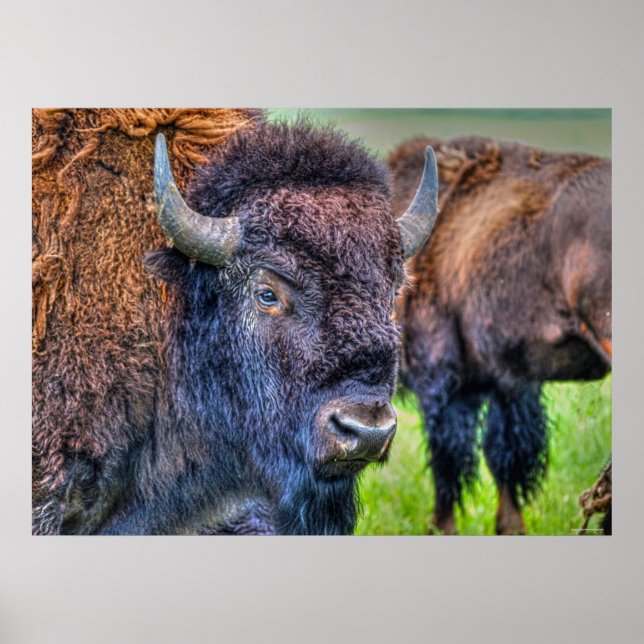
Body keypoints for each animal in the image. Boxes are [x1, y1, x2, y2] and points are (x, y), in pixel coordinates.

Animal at [389, 136, 611, 534]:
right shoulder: (507, 382)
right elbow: (505, 458)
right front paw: (510, 526)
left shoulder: (443, 382)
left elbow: (450, 461)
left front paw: (440, 527)